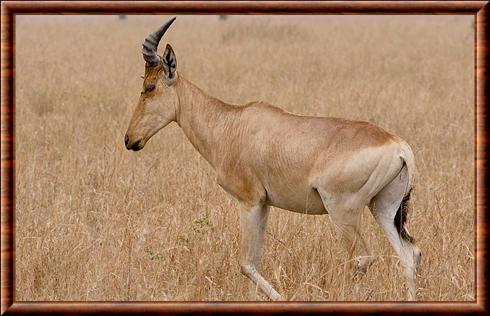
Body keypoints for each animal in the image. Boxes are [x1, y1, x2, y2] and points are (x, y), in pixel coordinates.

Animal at [125, 17, 422, 302]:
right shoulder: (265, 203)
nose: (130, 140)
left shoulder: (249, 201)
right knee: (409, 254)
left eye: (149, 87)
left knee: (362, 258)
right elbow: (255, 262)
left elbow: (246, 263)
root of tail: (399, 147)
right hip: (384, 208)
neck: (232, 125)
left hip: (342, 210)